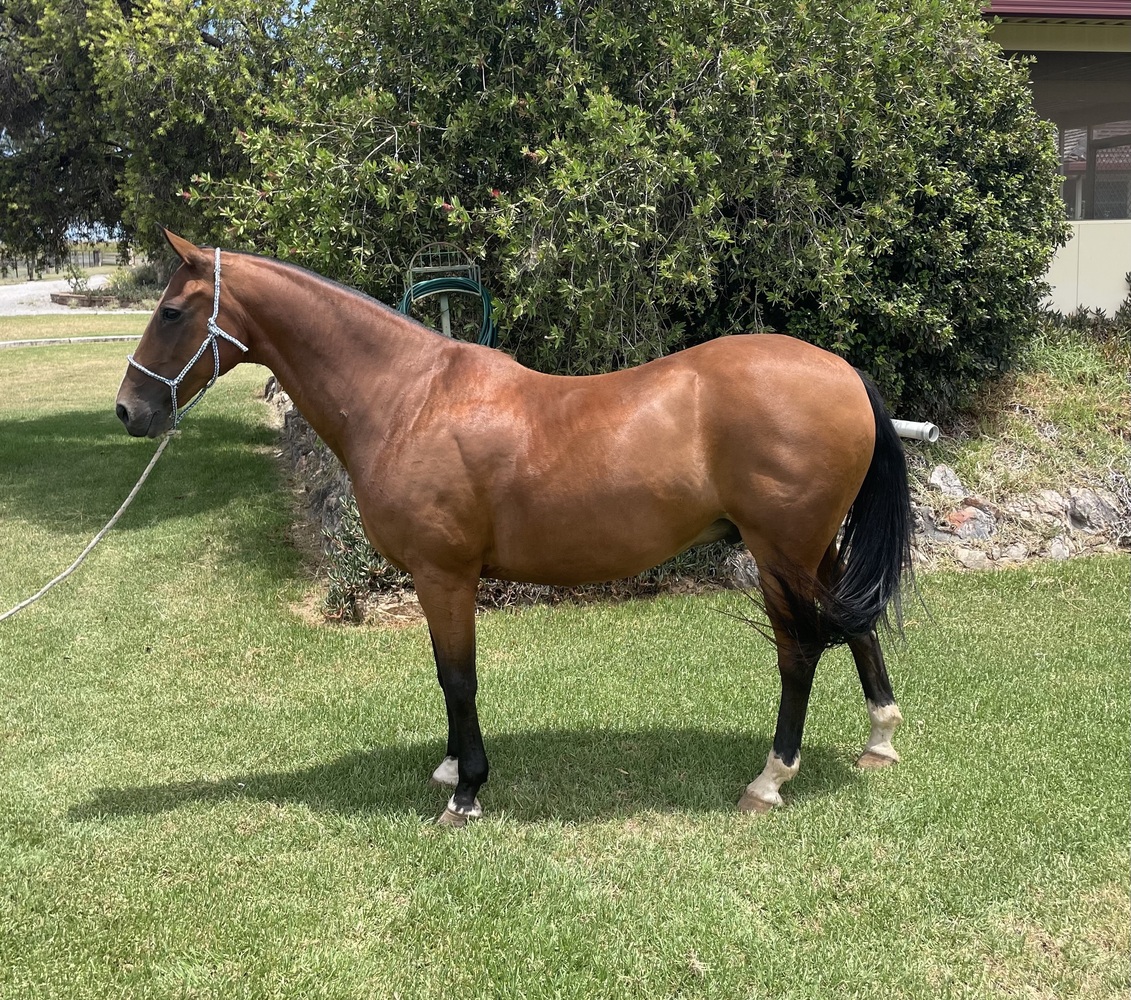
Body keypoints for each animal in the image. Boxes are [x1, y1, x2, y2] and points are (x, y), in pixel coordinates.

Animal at [115, 230, 914, 826]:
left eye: (171, 313)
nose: (130, 411)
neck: (409, 398)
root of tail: (843, 372)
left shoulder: (444, 574)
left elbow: (457, 676)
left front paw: (466, 791)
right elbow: (446, 678)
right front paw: (448, 769)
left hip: (780, 551)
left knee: (799, 651)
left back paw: (769, 779)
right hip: (816, 550)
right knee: (856, 626)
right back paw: (878, 742)